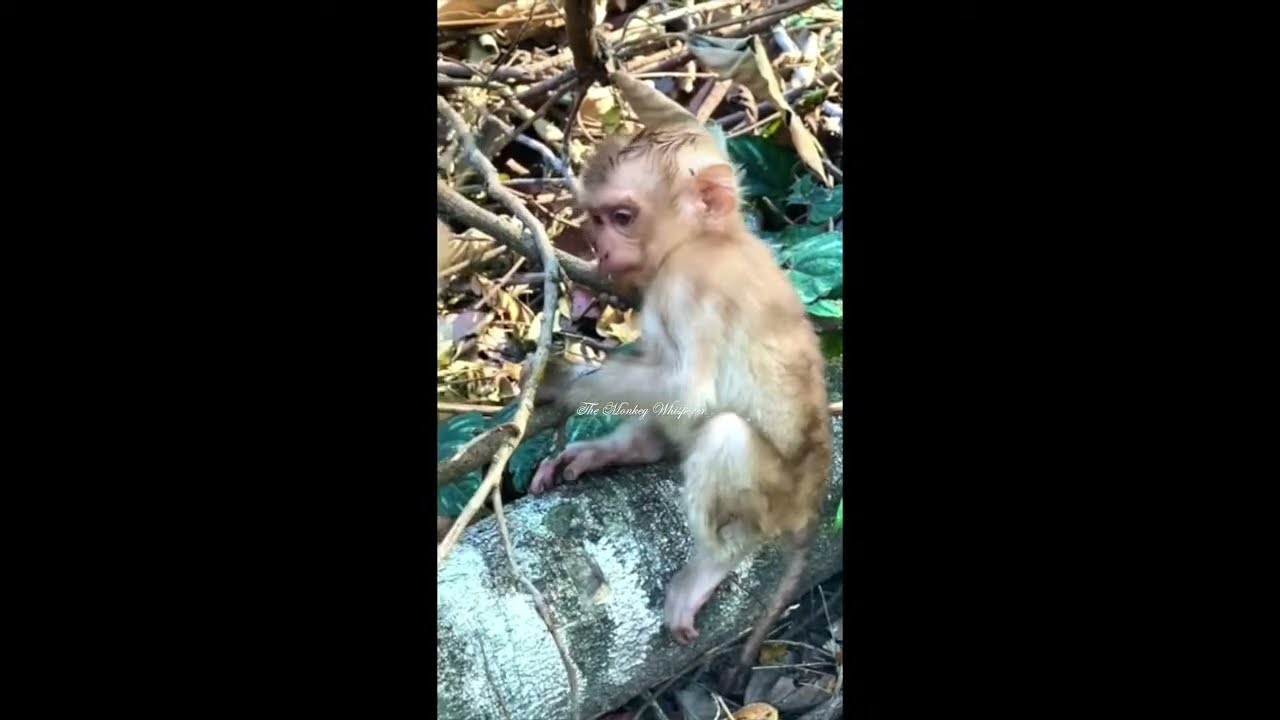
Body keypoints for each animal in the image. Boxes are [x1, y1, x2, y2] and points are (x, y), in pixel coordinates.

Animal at [529, 127, 833, 693]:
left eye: (623, 216)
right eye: (597, 219)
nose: (601, 249)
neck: (707, 239)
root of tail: (811, 504)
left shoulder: (691, 284)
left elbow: (686, 389)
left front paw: (558, 382)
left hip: (775, 495)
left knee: (724, 433)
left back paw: (714, 563)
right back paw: (632, 448)